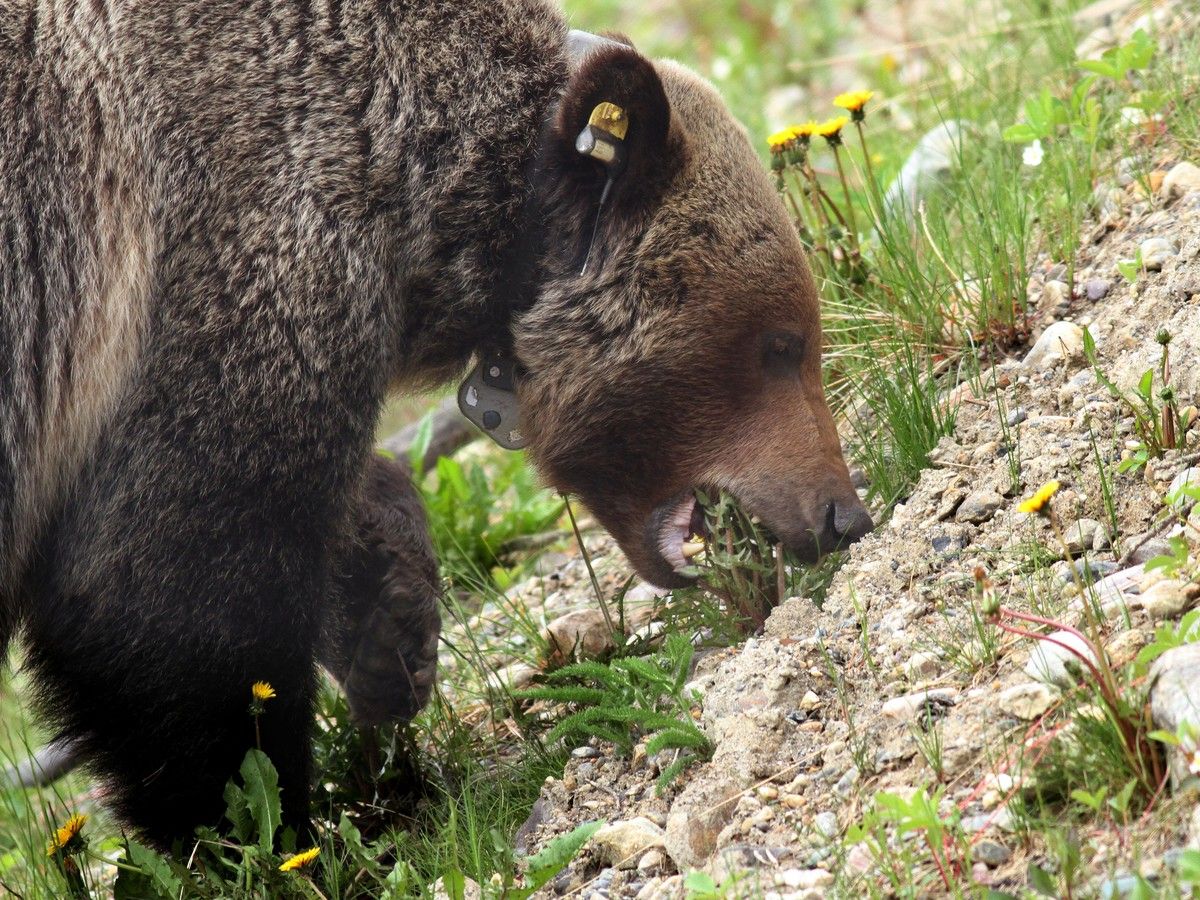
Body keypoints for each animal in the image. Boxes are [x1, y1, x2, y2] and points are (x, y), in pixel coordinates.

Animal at [0, 0, 871, 846]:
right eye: (780, 343)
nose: (842, 515)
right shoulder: (211, 275)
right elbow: (168, 585)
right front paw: (277, 829)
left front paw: (390, 624)